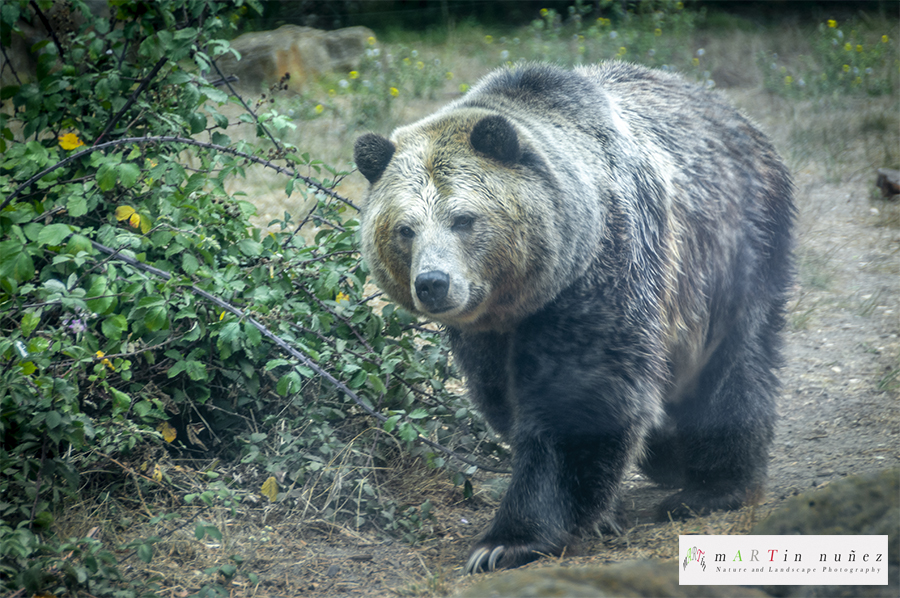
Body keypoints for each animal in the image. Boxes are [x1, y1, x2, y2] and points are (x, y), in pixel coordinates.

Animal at [353, 62, 794, 574]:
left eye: (462, 218)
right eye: (404, 229)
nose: (433, 283)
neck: (522, 297)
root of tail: (735, 114)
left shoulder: (601, 269)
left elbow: (578, 398)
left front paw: (507, 540)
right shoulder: (484, 333)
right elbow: (502, 396)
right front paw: (600, 512)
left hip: (736, 245)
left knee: (734, 361)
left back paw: (712, 486)